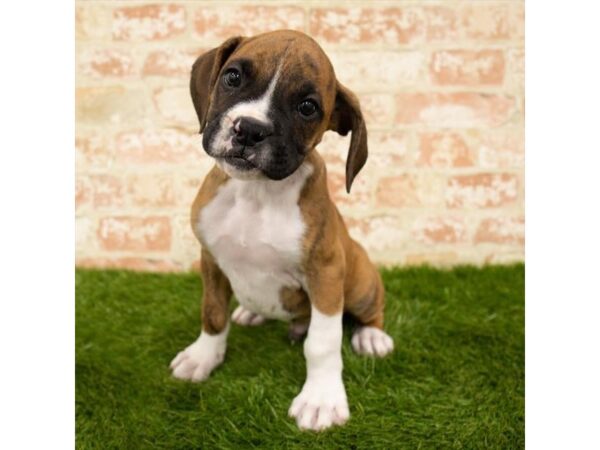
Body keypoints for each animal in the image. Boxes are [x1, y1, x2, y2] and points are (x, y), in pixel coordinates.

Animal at [170, 29, 394, 430]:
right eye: (232, 77)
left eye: (307, 107)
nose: (250, 129)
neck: (256, 192)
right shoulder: (211, 260)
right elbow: (212, 313)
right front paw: (203, 357)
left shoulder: (326, 273)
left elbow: (322, 342)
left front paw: (321, 398)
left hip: (361, 283)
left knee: (368, 312)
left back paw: (371, 337)